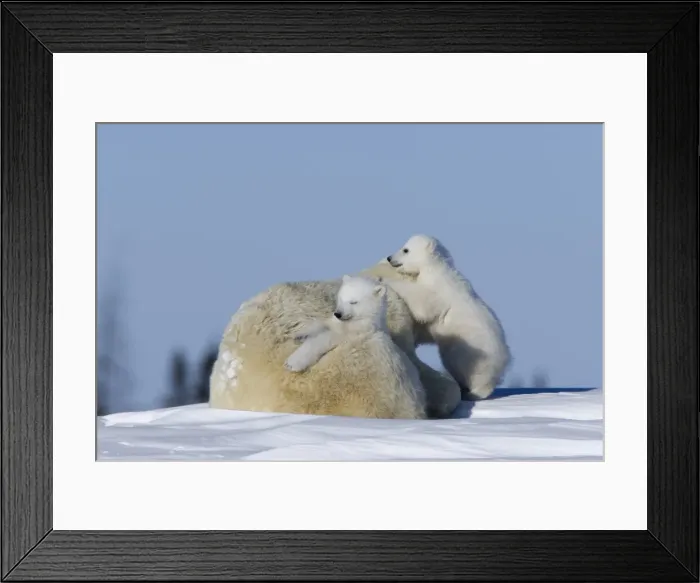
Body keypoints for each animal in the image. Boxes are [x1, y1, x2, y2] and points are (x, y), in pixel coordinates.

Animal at [385, 233, 511, 400]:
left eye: (405, 249)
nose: (389, 257)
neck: (436, 269)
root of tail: (505, 363)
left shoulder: (439, 291)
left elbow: (423, 304)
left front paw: (386, 281)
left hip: (477, 356)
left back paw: (473, 392)